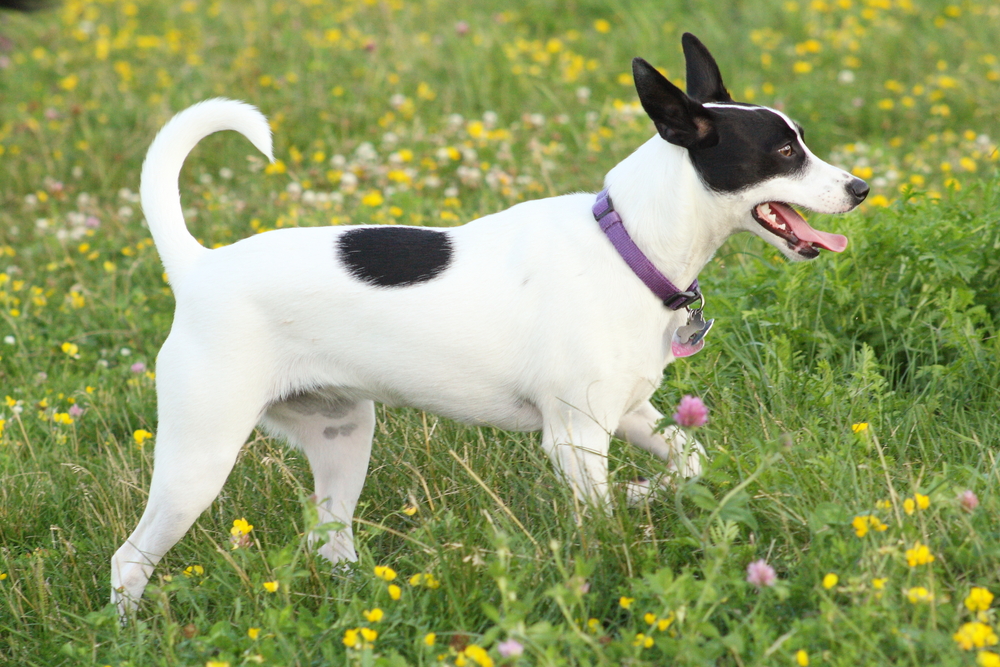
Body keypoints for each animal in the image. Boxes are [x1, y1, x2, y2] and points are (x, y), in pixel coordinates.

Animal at [111, 35, 868, 612]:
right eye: (783, 153)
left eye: (801, 142)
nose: (861, 188)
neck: (629, 243)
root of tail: (198, 266)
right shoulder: (575, 439)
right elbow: (600, 524)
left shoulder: (628, 414)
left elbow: (691, 461)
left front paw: (641, 491)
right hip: (199, 461)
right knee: (129, 559)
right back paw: (133, 630)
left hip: (343, 437)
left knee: (328, 540)